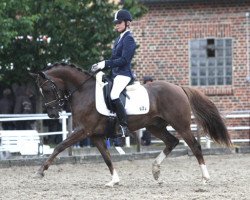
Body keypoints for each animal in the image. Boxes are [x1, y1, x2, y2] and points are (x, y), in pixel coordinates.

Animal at [30, 62, 231, 186]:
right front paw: (114, 180)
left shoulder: (83, 131)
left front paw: (40, 171)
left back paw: (204, 178)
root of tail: (179, 87)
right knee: (172, 142)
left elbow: (60, 147)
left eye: (47, 89)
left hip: (181, 125)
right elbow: (106, 157)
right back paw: (156, 171)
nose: (52, 114)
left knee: (194, 146)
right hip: (154, 126)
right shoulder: (95, 136)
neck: (83, 92)